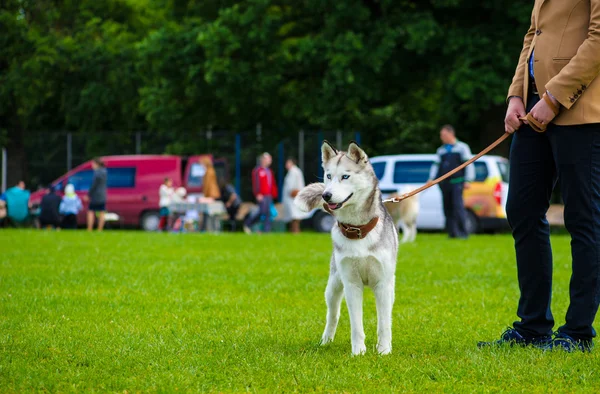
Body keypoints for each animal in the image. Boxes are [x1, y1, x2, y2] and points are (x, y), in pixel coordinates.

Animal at [296, 141, 398, 354]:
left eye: (345, 176)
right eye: (328, 175)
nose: (326, 195)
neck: (358, 229)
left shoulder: (382, 284)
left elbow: (384, 323)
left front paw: (384, 350)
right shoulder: (352, 283)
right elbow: (356, 324)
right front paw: (358, 352)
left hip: (390, 286)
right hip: (333, 286)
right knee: (333, 315)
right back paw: (326, 341)